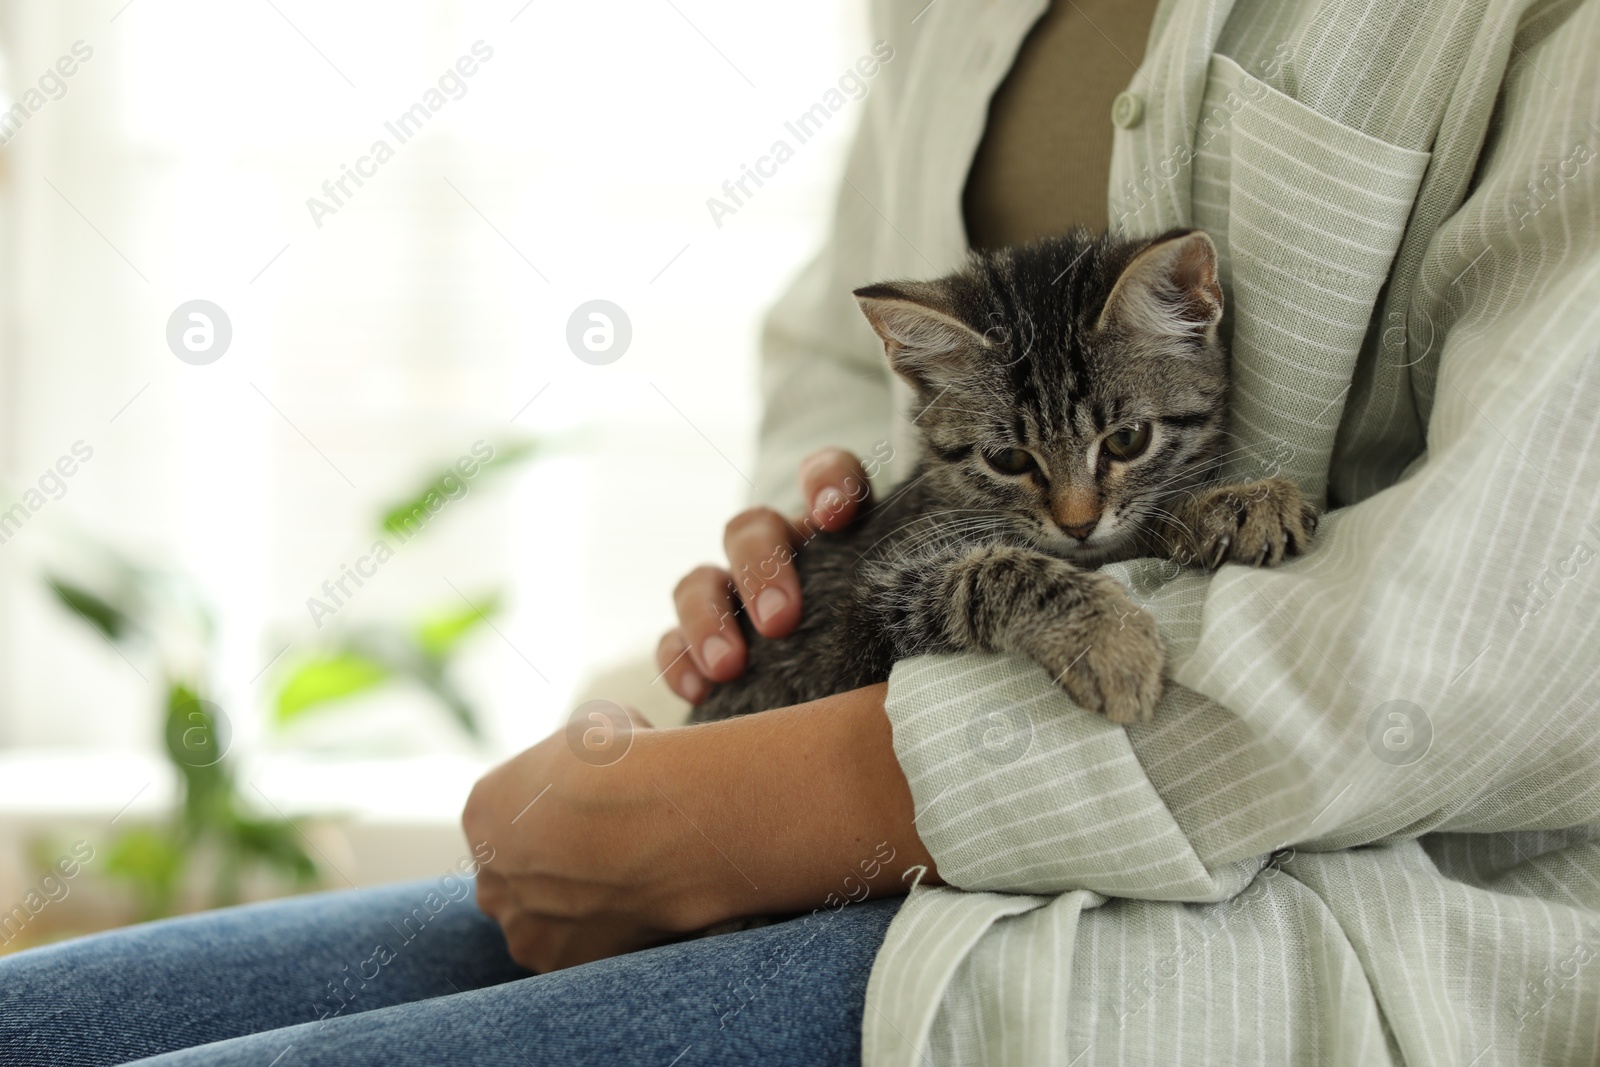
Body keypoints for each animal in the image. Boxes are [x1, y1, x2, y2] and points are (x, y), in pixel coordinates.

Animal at [694, 227, 1318, 726]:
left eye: (1127, 440)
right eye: (1009, 460)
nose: (1078, 525)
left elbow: (1143, 519)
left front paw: (1236, 503)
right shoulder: (847, 631)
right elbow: (992, 570)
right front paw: (1105, 638)